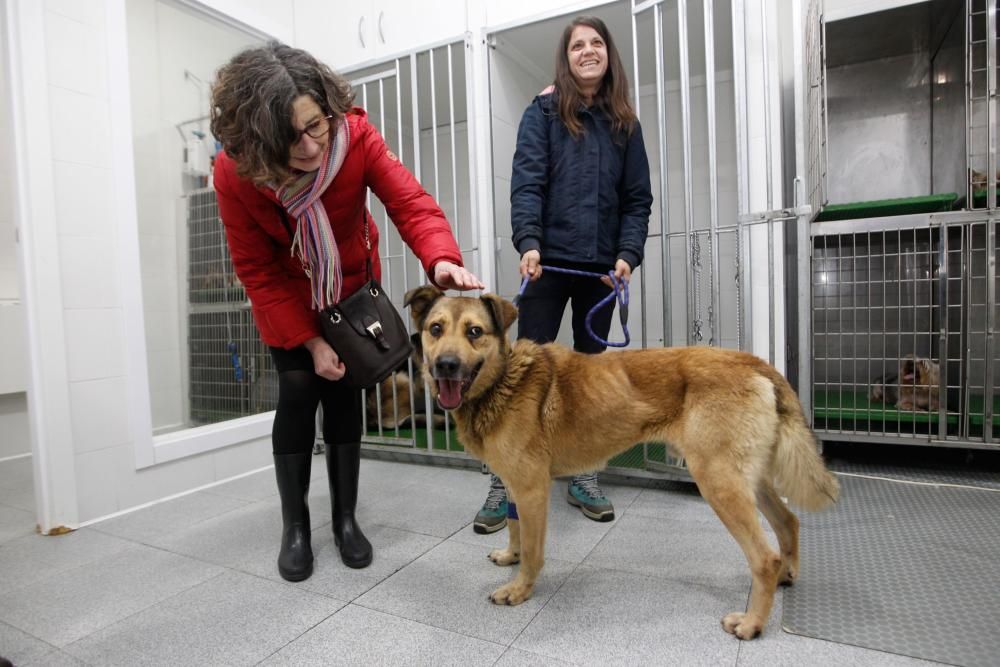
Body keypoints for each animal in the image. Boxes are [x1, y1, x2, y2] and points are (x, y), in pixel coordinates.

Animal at [402, 288, 840, 640]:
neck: (504, 380)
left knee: (763, 557)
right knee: (788, 521)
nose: (445, 366)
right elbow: (514, 528)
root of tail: (755, 362)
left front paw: (519, 589)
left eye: (475, 332)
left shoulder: (531, 489)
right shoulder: (513, 483)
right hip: (750, 480)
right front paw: (509, 556)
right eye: (436, 329)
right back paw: (787, 574)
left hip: (719, 483)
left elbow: (533, 550)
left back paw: (751, 623)